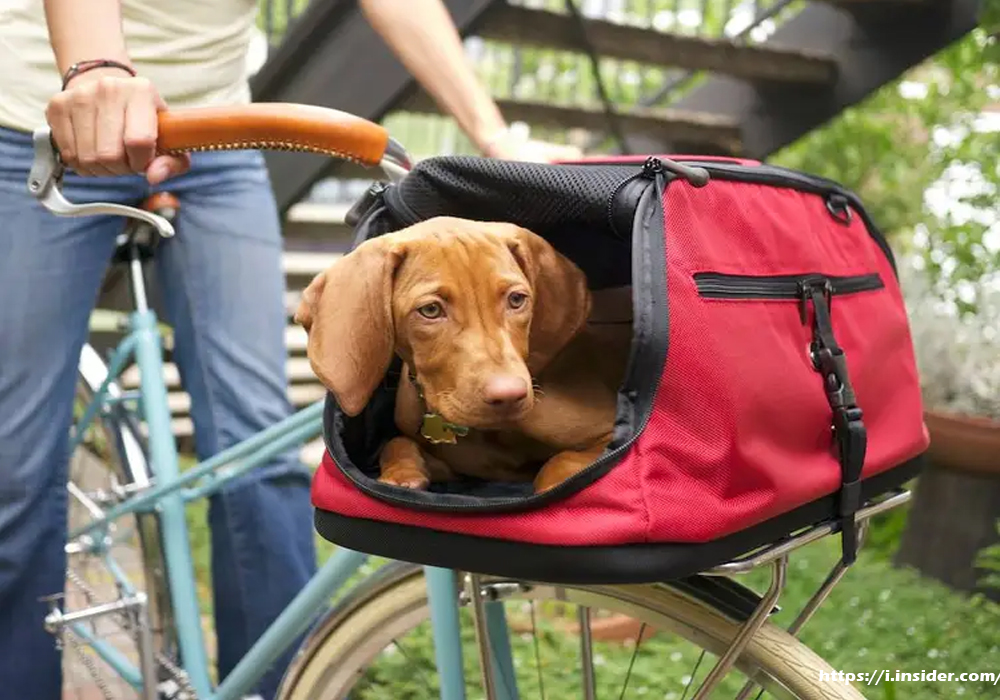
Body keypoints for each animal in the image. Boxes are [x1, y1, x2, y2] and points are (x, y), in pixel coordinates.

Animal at [292, 216, 628, 494]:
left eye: (516, 300)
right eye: (430, 310)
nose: (509, 396)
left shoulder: (607, 436)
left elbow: (562, 462)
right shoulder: (454, 465)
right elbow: (397, 442)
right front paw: (402, 474)